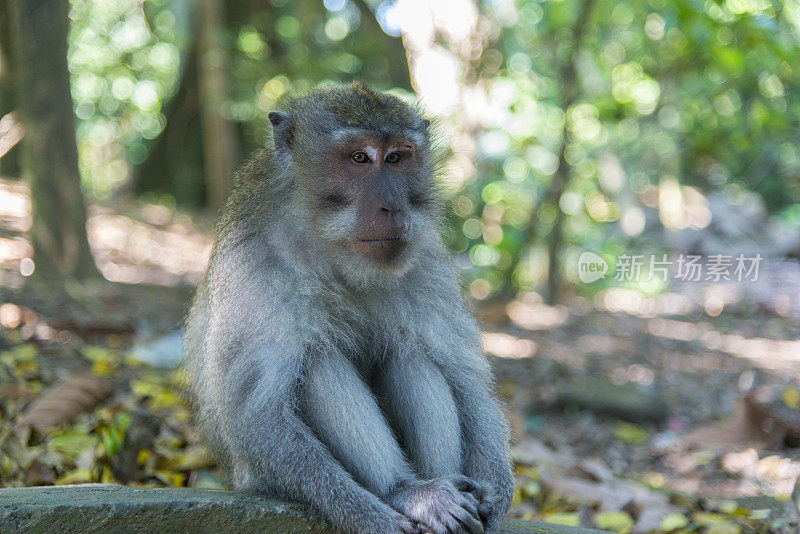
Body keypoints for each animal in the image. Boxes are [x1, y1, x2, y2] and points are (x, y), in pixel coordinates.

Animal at [183, 82, 512, 534]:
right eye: (359, 158)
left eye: (396, 158)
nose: (393, 207)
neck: (332, 249)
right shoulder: (257, 262)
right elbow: (257, 412)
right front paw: (372, 516)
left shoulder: (426, 258)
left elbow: (466, 380)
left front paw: (495, 496)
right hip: (255, 479)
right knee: (316, 363)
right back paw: (407, 492)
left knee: (412, 354)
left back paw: (442, 487)